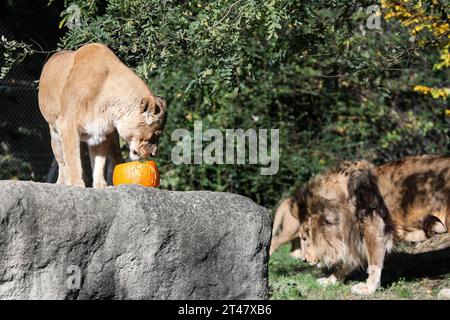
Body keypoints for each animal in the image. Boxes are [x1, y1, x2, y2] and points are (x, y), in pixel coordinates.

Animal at [38, 42, 167, 188]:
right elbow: (72, 158)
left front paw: (100, 185)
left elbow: (99, 162)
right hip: (55, 134)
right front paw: (76, 183)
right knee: (62, 162)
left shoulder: (102, 133)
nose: (153, 154)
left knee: (115, 159)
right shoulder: (67, 125)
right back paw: (61, 182)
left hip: (113, 140)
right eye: (153, 136)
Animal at [290, 155, 448, 296]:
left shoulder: (374, 230)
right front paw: (330, 280)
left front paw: (368, 289)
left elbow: (374, 264)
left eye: (304, 238)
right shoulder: (354, 237)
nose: (303, 260)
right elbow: (346, 264)